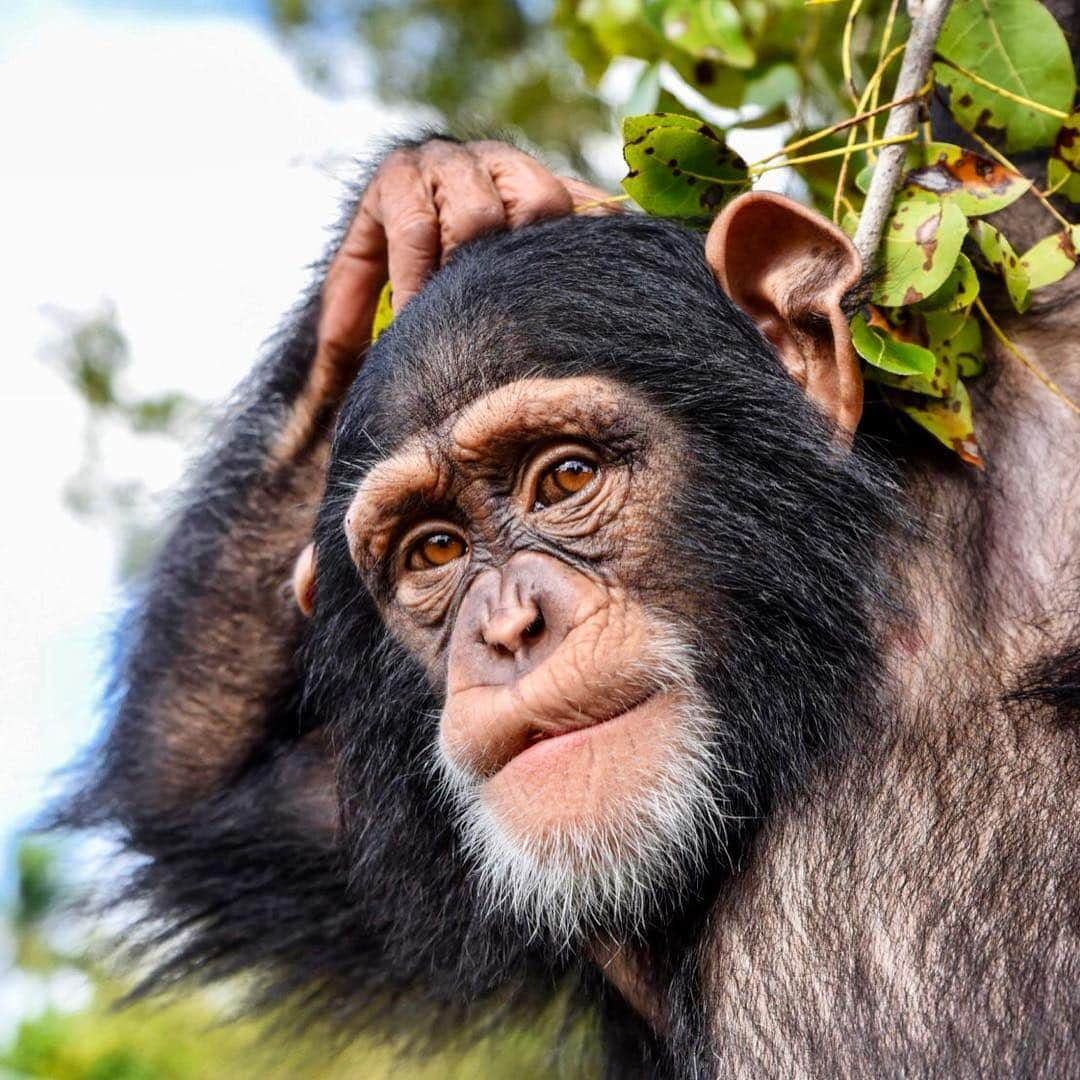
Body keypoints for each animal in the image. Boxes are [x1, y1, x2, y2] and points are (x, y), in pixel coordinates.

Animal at [61, 139, 1080, 1075]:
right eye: (434, 549)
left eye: (565, 478)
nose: (509, 629)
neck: (828, 686)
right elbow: (193, 802)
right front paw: (421, 206)